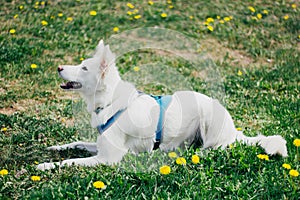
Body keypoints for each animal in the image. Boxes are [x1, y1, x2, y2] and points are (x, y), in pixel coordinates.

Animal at [36, 40, 288, 170]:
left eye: (84, 68)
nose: (59, 67)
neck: (109, 101)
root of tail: (233, 131)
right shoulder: (100, 146)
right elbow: (75, 143)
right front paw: (54, 149)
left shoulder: (107, 158)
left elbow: (71, 161)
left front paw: (45, 166)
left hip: (209, 117)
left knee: (213, 149)